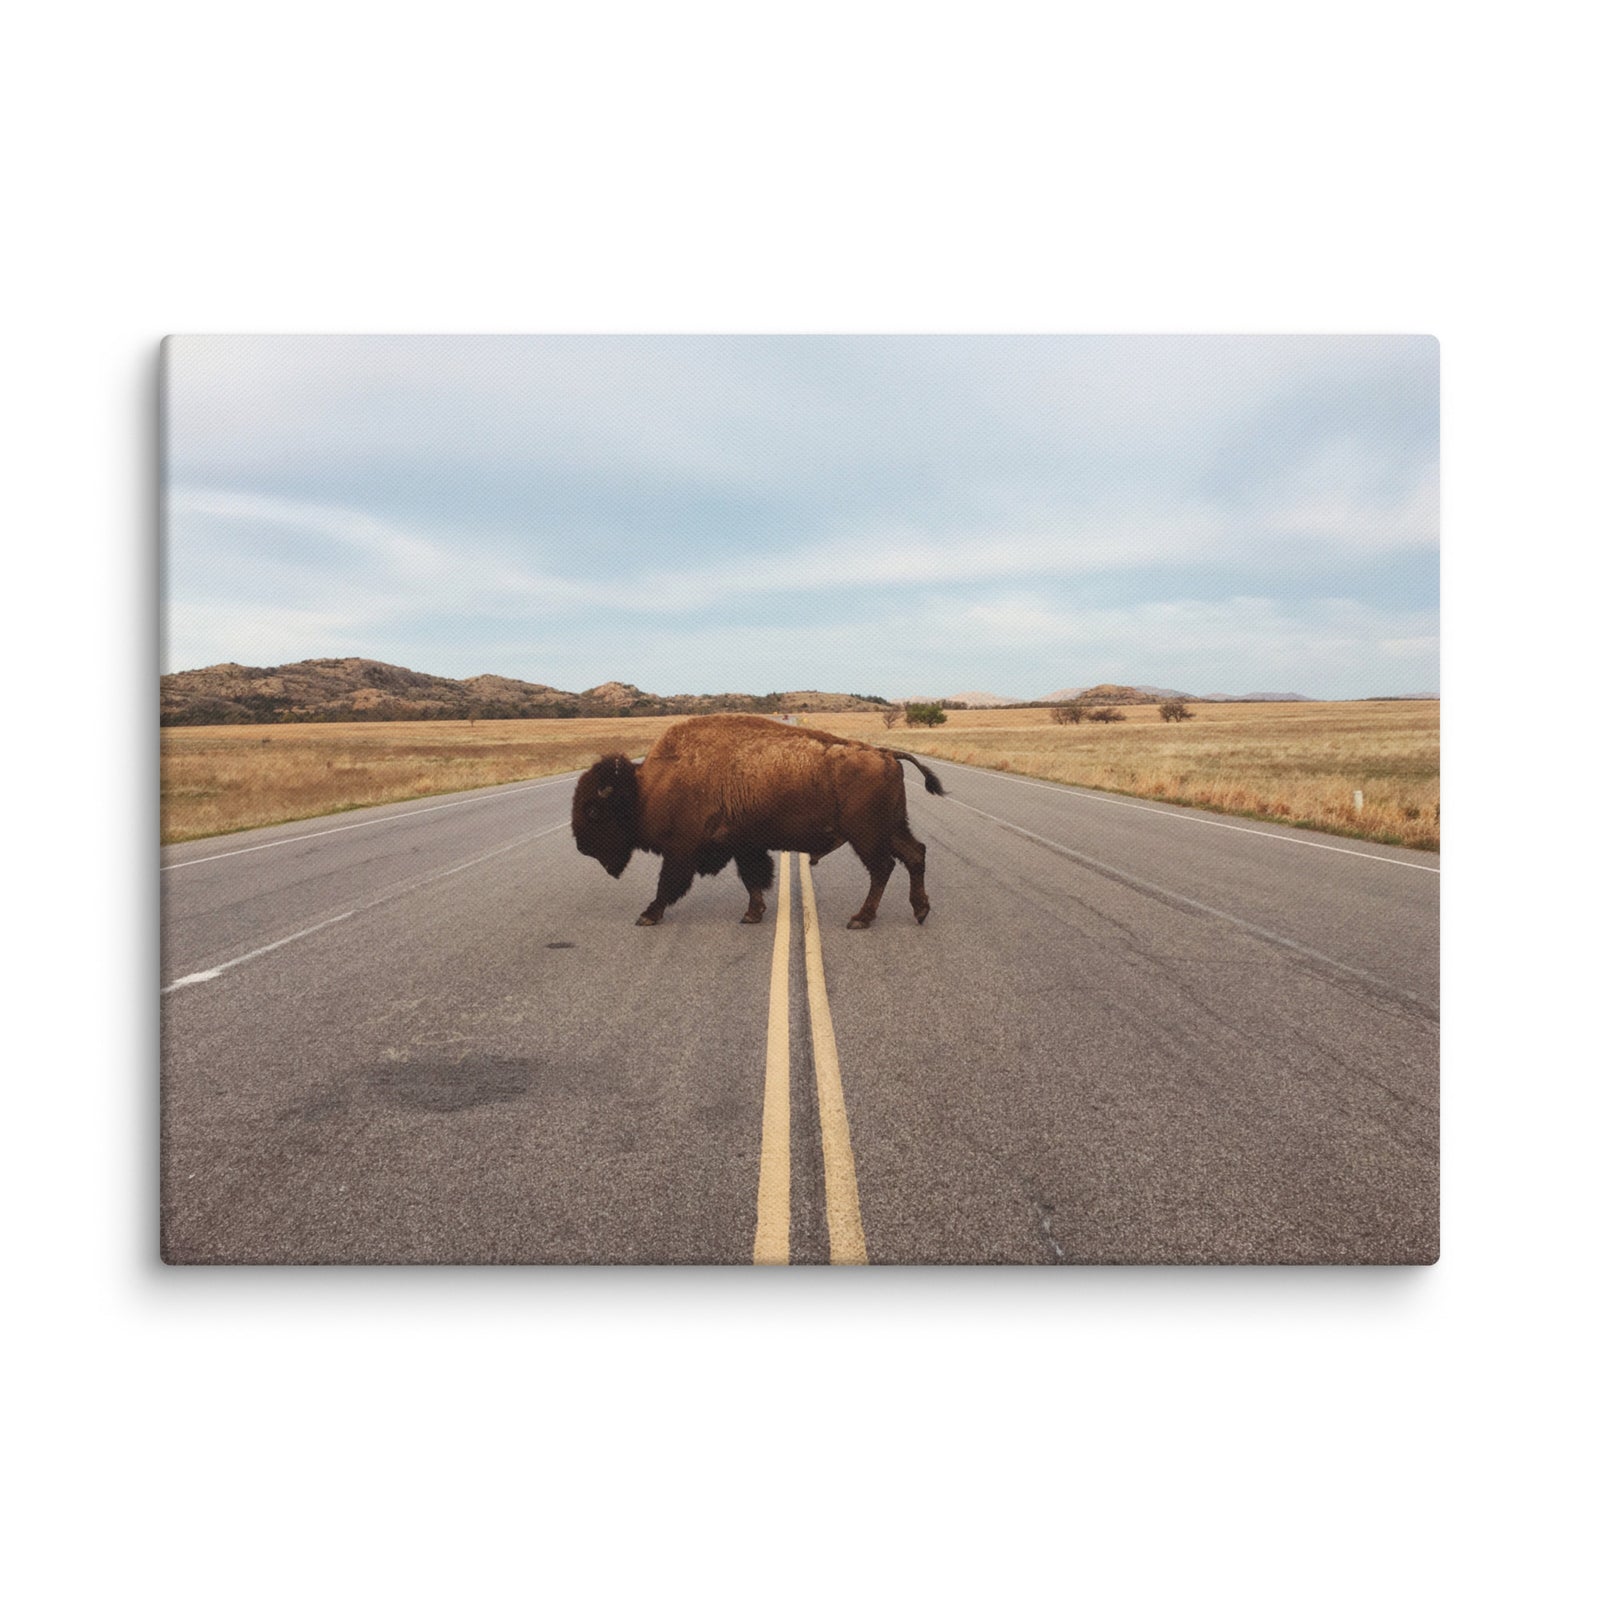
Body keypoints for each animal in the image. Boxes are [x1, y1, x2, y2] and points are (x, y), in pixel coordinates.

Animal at [571, 714, 945, 929]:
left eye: (593, 811)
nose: (582, 847)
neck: (647, 788)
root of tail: (885, 753)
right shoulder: (742, 845)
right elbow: (752, 879)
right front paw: (753, 914)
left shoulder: (681, 850)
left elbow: (667, 885)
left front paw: (647, 915)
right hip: (891, 829)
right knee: (915, 855)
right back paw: (920, 911)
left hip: (866, 835)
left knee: (883, 868)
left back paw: (861, 919)